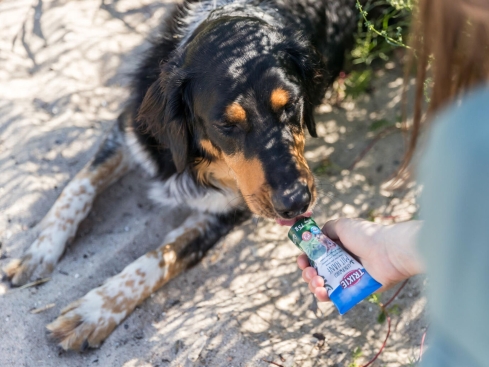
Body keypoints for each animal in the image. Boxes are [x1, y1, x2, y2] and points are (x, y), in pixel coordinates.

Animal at [2, 0, 354, 350]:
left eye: (291, 104)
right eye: (226, 125)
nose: (296, 202)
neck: (198, 160)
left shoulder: (227, 210)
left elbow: (162, 256)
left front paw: (94, 311)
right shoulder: (131, 130)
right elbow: (79, 186)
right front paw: (40, 249)